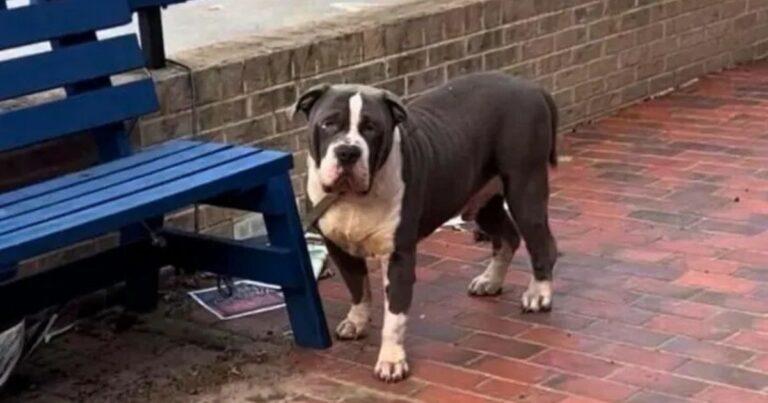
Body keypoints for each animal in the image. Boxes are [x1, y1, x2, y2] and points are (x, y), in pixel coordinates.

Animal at [294, 71, 560, 384]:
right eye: (328, 123)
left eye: (371, 127)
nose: (347, 151)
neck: (353, 198)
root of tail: (531, 86)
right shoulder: (338, 247)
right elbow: (357, 287)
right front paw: (357, 321)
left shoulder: (398, 256)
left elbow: (394, 317)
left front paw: (392, 361)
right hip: (482, 201)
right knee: (508, 236)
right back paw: (490, 281)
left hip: (524, 189)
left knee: (541, 243)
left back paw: (538, 293)